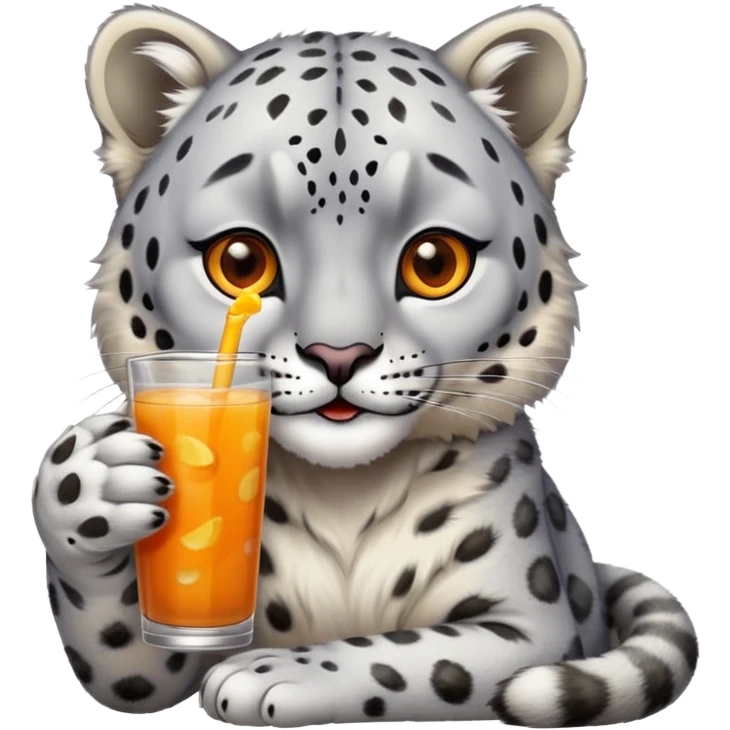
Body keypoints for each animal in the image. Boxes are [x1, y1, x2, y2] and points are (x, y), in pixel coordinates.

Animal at [32, 3, 699, 727]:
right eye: (239, 260)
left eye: (435, 260)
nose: (339, 354)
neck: (342, 503)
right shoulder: (164, 636)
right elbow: (128, 650)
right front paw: (88, 480)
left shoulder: (531, 625)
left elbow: (407, 659)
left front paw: (271, 672)